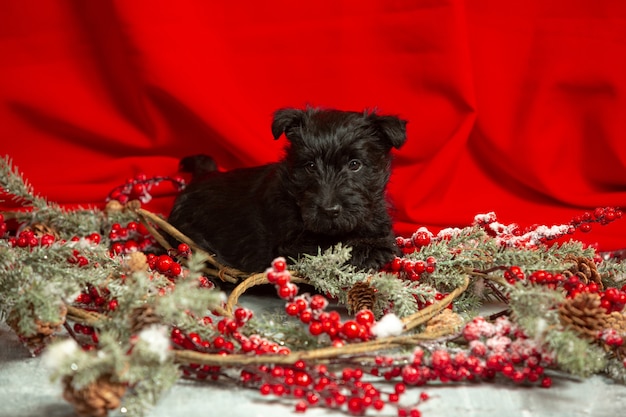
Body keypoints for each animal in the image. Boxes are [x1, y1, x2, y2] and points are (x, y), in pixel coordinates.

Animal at [168, 105, 408, 272]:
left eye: (355, 164)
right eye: (310, 166)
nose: (329, 211)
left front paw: (379, 242)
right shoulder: (292, 244)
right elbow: (331, 245)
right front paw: (368, 250)